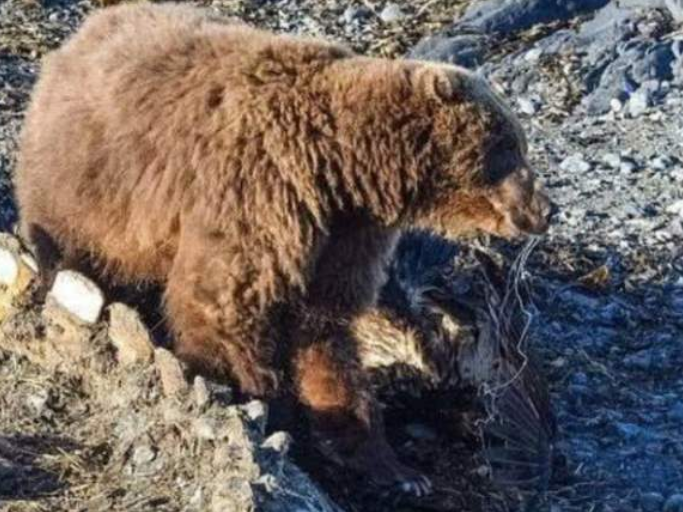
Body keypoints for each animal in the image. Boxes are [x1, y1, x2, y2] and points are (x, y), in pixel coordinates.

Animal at [14, 1, 552, 496]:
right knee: (73, 252)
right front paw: (257, 405)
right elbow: (225, 305)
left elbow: (326, 332)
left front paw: (389, 463)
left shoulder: (344, 236)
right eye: (510, 146)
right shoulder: (260, 190)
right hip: (86, 190)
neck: (345, 169)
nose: (544, 210)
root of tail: (76, 39)